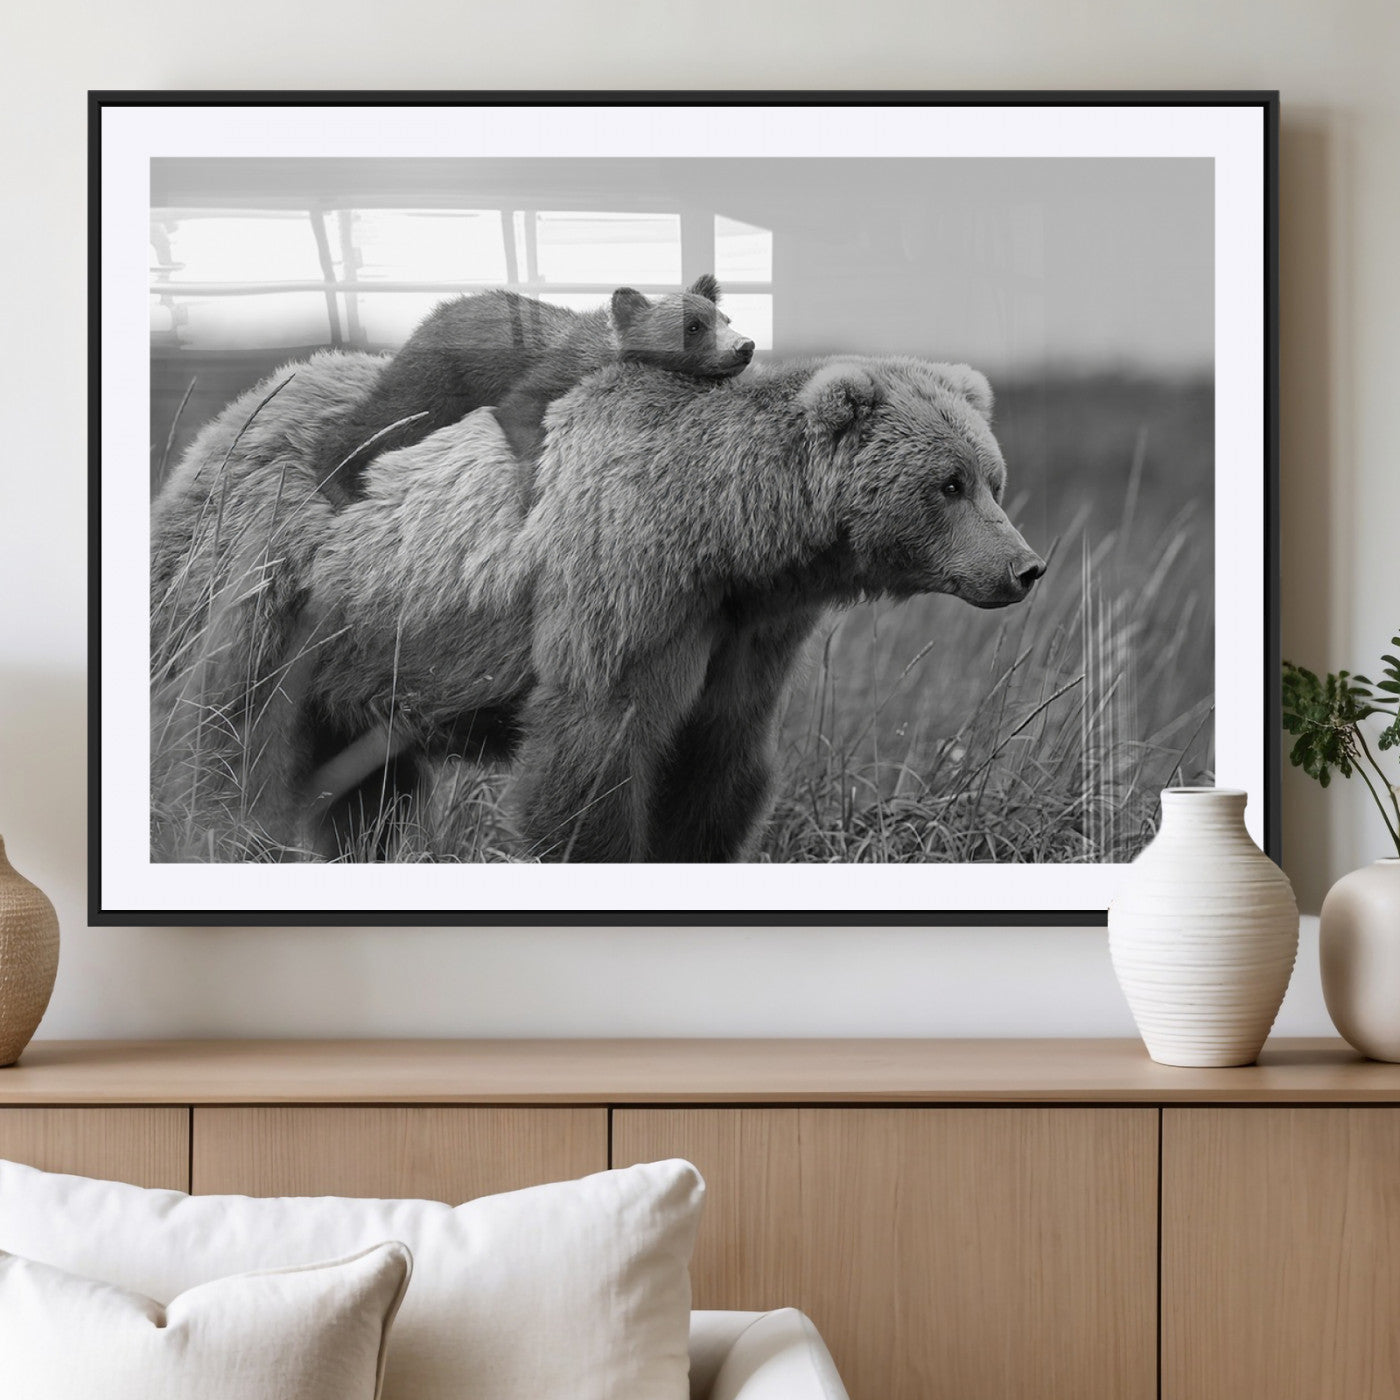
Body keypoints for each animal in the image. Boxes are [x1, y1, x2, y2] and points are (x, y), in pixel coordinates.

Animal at [149, 348, 1045, 864]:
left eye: (992, 478)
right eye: (949, 484)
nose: (1025, 567)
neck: (729, 536)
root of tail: (237, 411)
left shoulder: (746, 633)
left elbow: (717, 763)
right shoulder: (626, 585)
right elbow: (594, 749)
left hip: (366, 650)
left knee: (366, 787)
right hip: (267, 585)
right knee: (221, 732)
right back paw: (210, 834)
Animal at [312, 274, 754, 507]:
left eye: (725, 317)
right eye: (693, 326)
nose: (745, 346)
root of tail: (428, 318)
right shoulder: (546, 375)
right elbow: (520, 412)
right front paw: (531, 491)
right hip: (435, 381)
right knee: (385, 417)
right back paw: (340, 483)